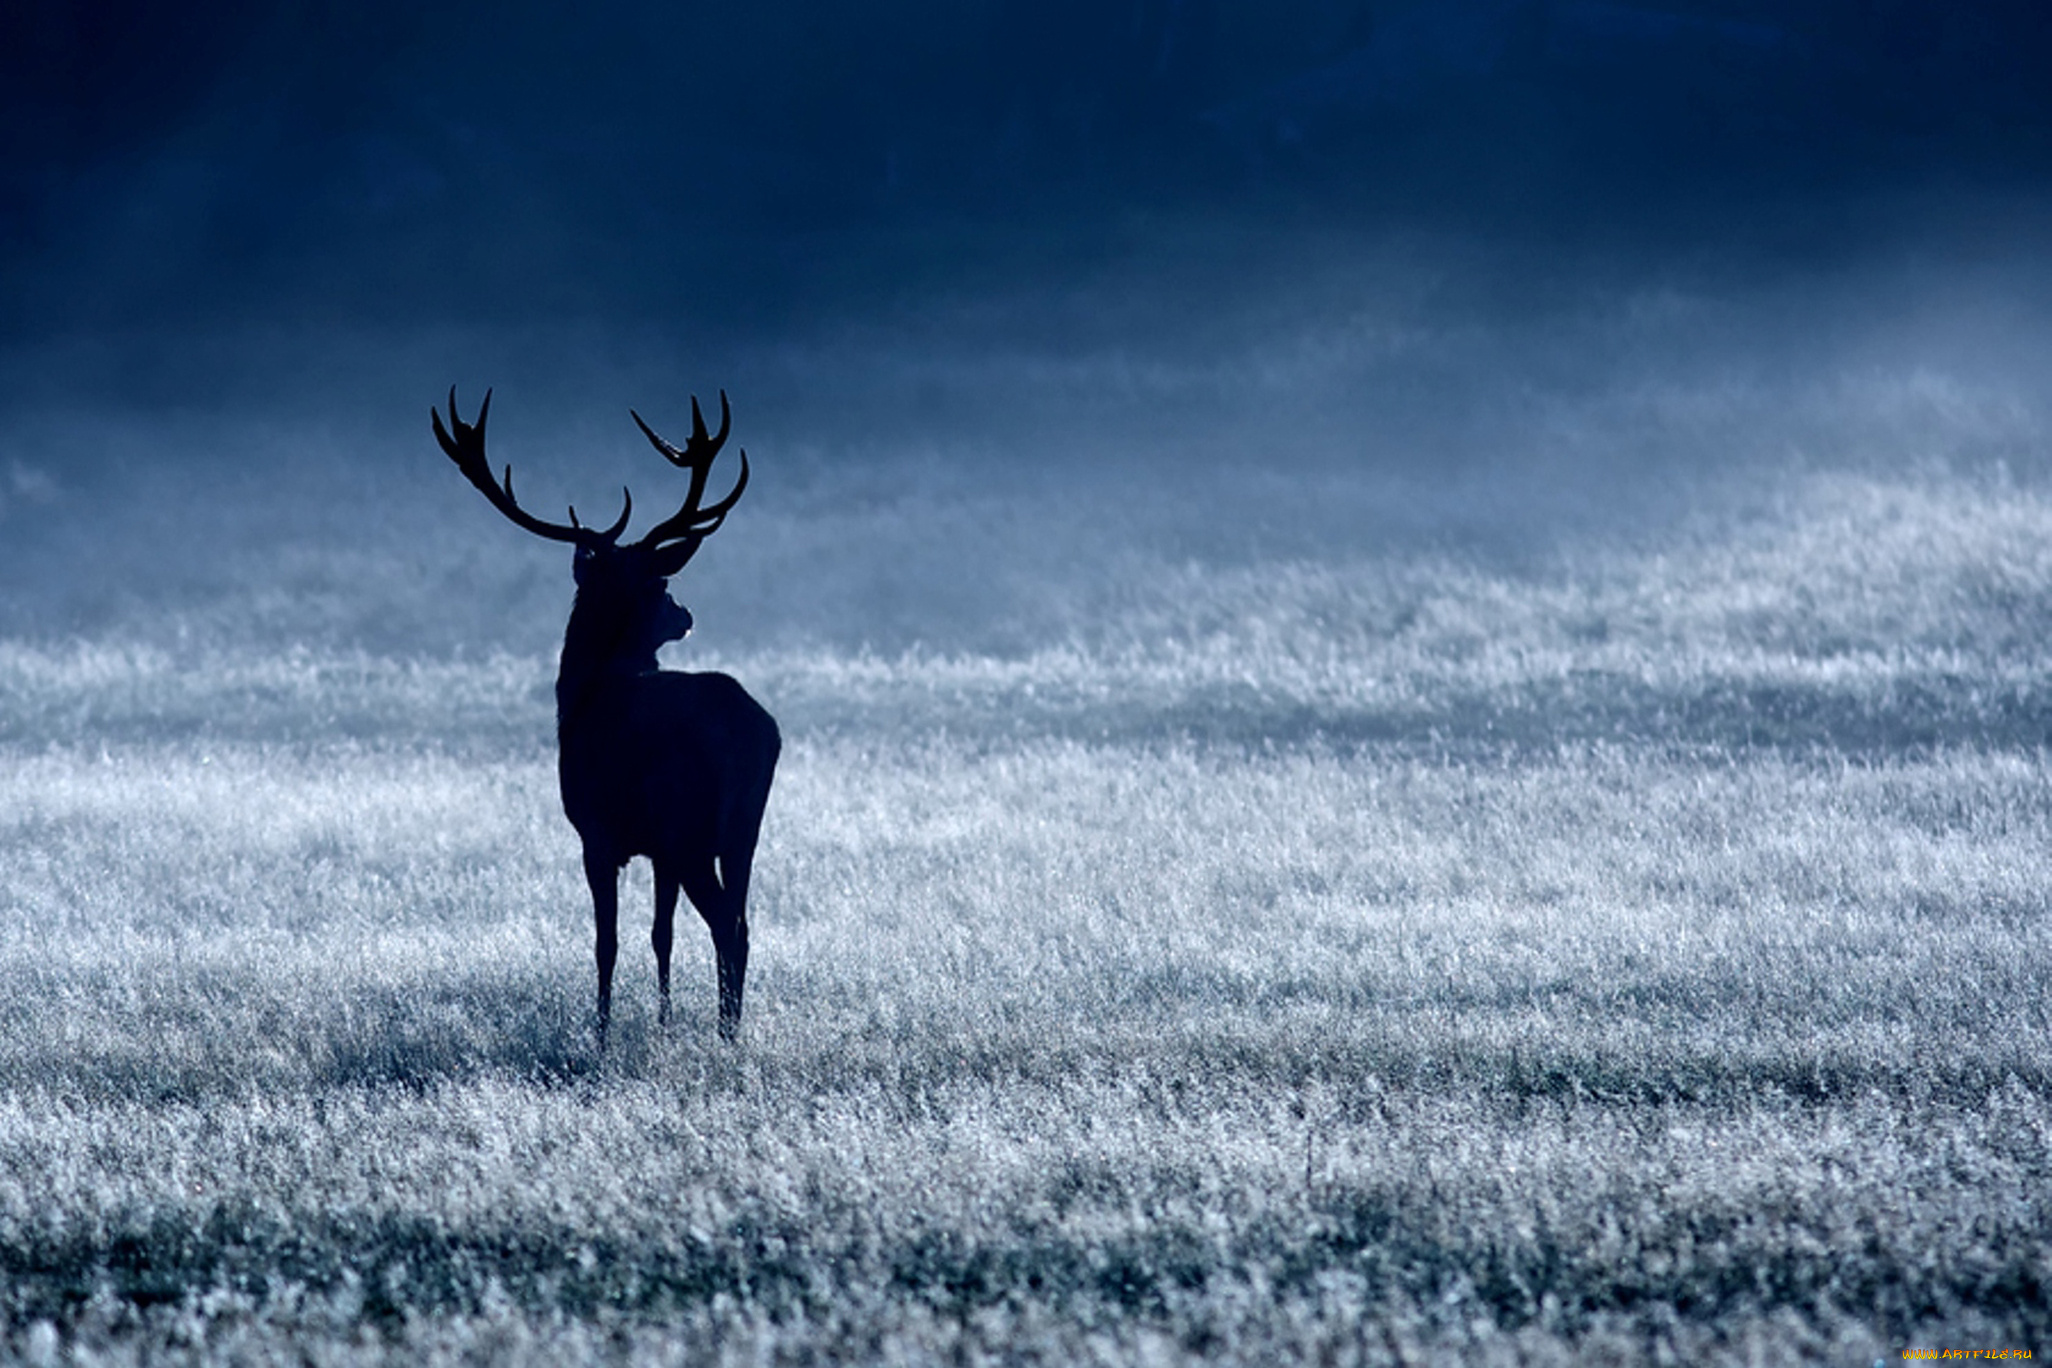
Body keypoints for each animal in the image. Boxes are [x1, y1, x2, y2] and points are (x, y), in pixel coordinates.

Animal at [432, 387, 775, 1050]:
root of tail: (755, 731)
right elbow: (661, 936)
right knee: (743, 921)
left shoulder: (597, 832)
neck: (583, 695)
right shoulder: (658, 849)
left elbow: (606, 942)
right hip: (742, 829)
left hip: (691, 827)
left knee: (727, 923)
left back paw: (727, 1034)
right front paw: (663, 1020)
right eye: (662, 584)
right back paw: (732, 1027)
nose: (686, 614)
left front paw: (601, 1033)